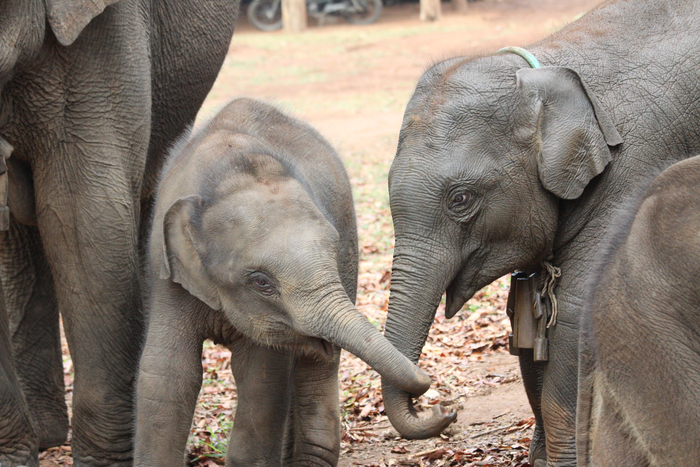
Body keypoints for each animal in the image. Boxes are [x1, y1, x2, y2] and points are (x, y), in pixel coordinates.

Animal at [134, 98, 431, 467]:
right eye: (261, 282)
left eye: (333, 251)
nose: (441, 410)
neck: (226, 171)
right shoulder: (167, 272)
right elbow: (168, 373)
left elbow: (261, 378)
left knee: (317, 370)